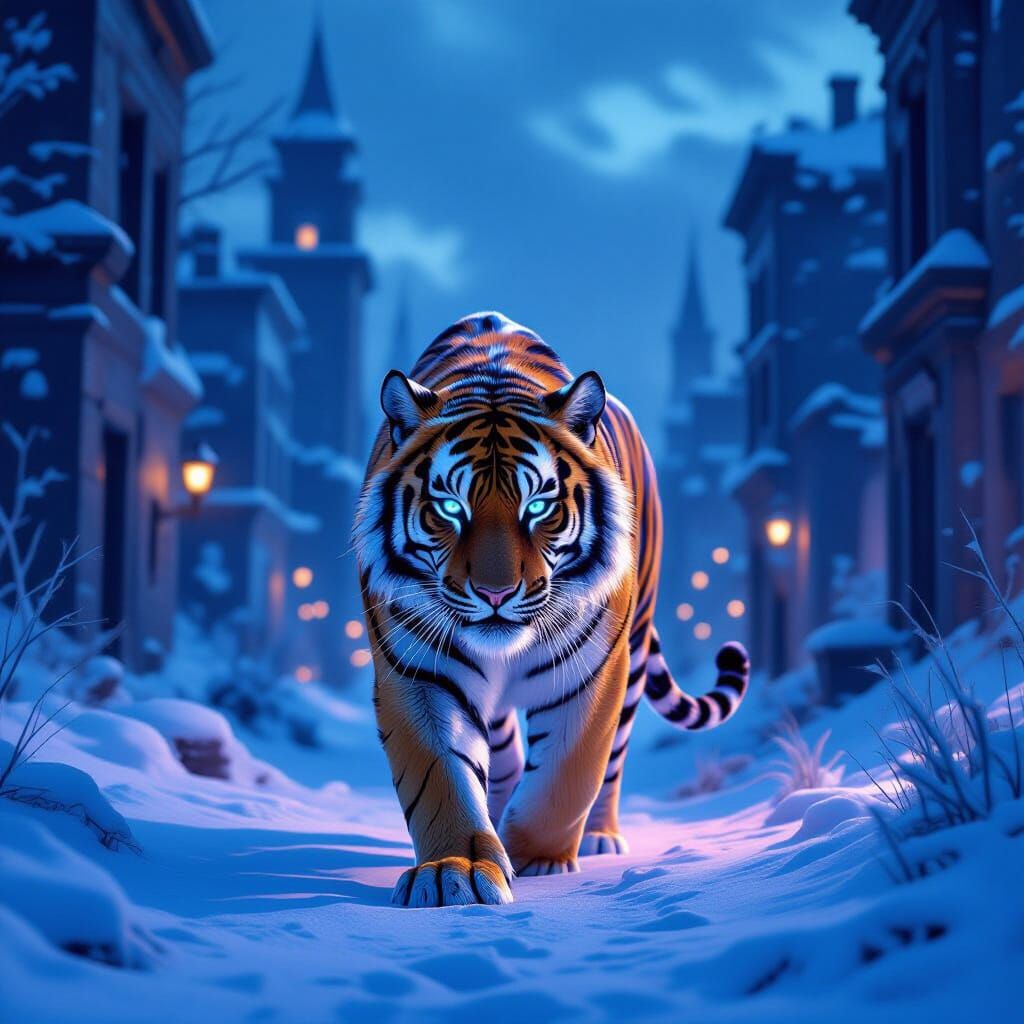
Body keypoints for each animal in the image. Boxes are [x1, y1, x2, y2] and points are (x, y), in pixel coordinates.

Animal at [353, 312, 750, 907]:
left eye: (538, 506)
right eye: (450, 507)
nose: (495, 593)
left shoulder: (592, 671)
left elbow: (568, 775)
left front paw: (535, 858)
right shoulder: (418, 672)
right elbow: (439, 777)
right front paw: (454, 871)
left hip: (634, 654)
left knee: (610, 762)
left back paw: (599, 838)